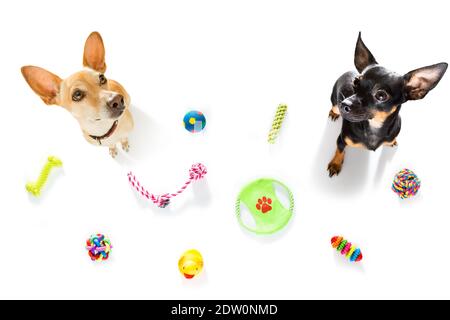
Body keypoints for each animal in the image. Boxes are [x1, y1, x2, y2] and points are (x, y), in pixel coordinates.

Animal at [326, 32, 446, 178]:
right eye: (356, 82)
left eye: (381, 95)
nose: (344, 103)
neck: (374, 126)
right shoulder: (341, 140)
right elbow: (339, 151)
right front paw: (335, 164)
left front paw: (392, 142)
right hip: (335, 104)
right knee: (333, 108)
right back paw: (333, 113)